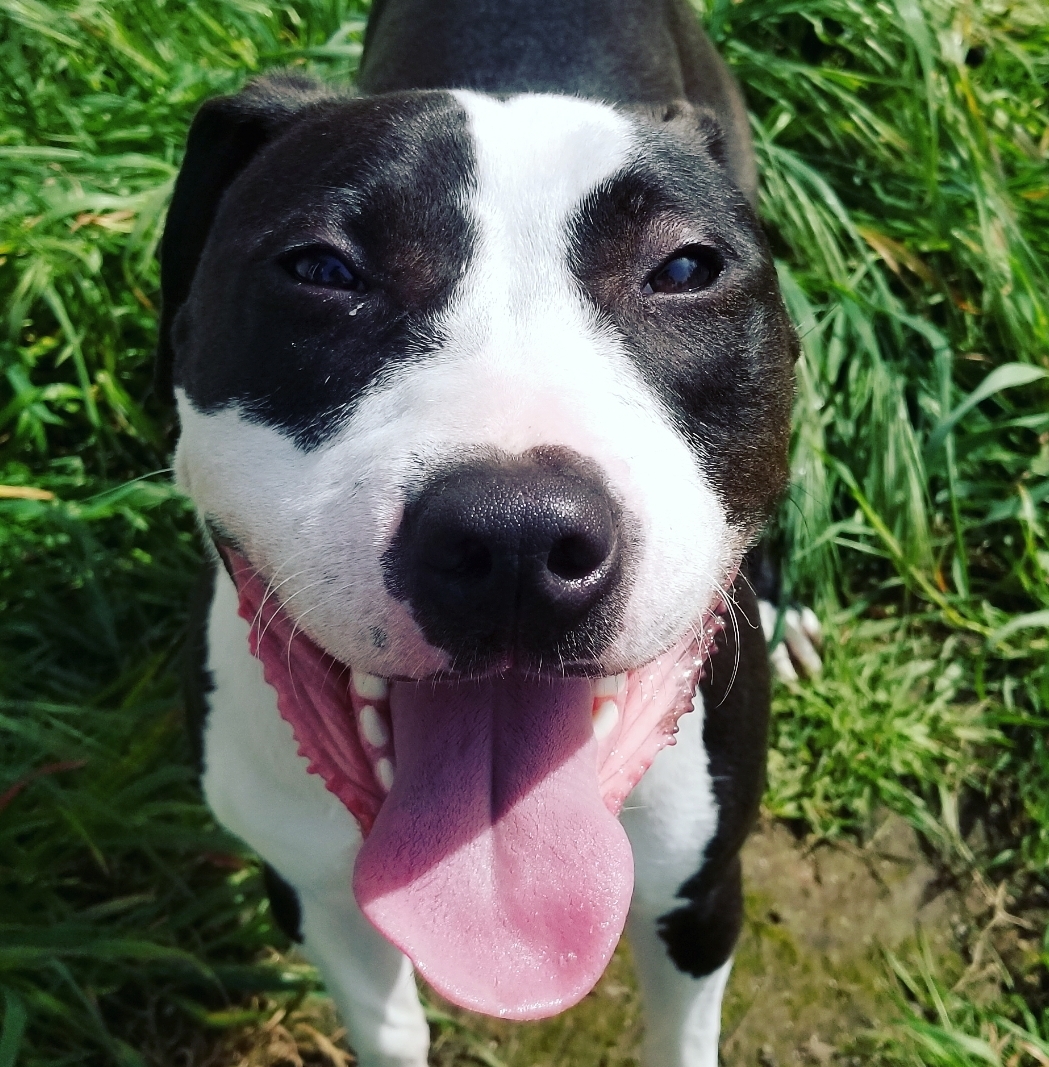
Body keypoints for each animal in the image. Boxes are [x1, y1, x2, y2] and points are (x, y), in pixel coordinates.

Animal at [153, 4, 793, 1062]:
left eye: (684, 268)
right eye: (321, 268)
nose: (515, 542)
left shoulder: (700, 895)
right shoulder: (314, 892)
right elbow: (388, 1028)